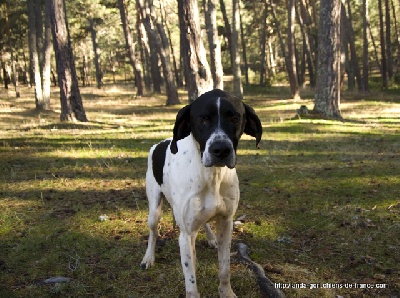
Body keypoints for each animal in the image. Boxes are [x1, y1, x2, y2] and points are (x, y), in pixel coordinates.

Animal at [141, 89, 262, 296]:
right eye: (203, 119)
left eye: (235, 118)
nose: (221, 149)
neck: (212, 176)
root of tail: (159, 144)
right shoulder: (186, 235)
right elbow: (191, 282)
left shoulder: (226, 223)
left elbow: (225, 269)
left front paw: (226, 293)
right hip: (154, 210)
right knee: (153, 232)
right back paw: (149, 257)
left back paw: (211, 238)